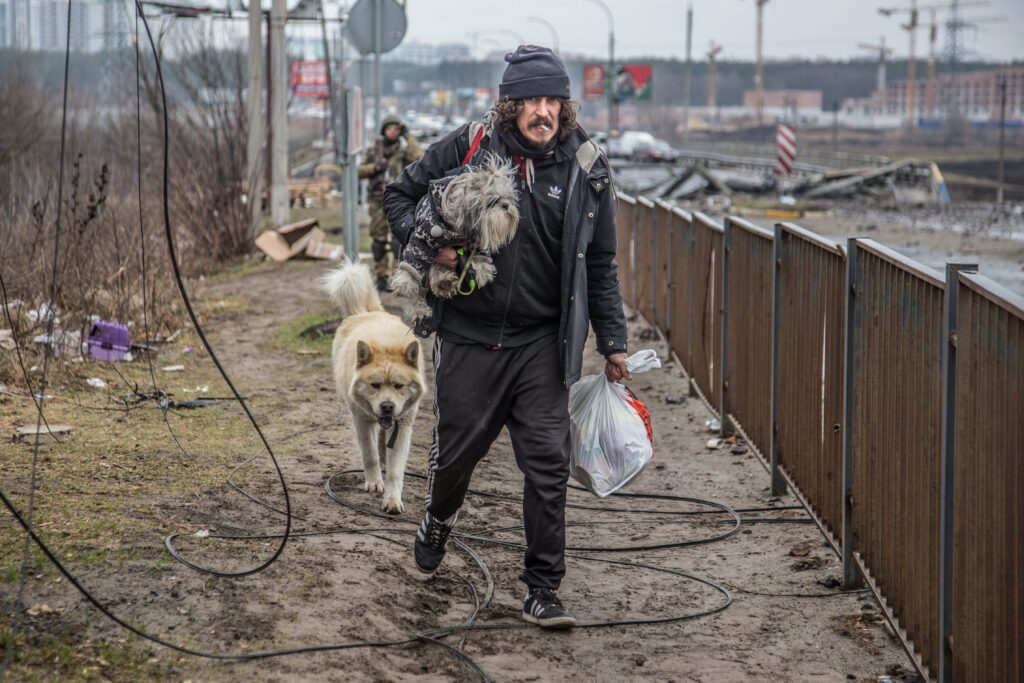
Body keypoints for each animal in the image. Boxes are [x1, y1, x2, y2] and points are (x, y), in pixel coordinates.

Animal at [319, 262, 423, 511]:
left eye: (399, 385)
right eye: (375, 385)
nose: (387, 406)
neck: (386, 346)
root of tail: (366, 311)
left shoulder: (402, 425)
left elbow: (395, 470)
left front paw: (392, 500)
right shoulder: (362, 420)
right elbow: (369, 455)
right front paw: (375, 483)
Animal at [389, 154, 524, 321]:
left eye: (507, 198)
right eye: (493, 202)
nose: (506, 205)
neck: (454, 226)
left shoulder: (477, 237)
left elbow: (481, 255)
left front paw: (483, 269)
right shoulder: (424, 238)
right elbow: (413, 264)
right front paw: (404, 283)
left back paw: (444, 282)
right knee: (419, 288)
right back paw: (420, 307)